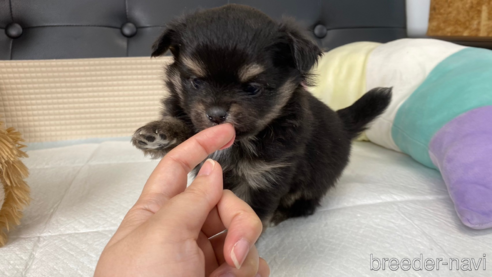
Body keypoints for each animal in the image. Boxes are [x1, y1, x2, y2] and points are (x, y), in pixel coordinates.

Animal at [132, 4, 392, 226]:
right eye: (196, 82)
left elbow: (252, 214)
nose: (216, 114)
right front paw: (160, 134)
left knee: (306, 204)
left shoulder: (265, 176)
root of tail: (342, 122)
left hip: (316, 179)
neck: (240, 141)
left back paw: (283, 213)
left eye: (252, 88)